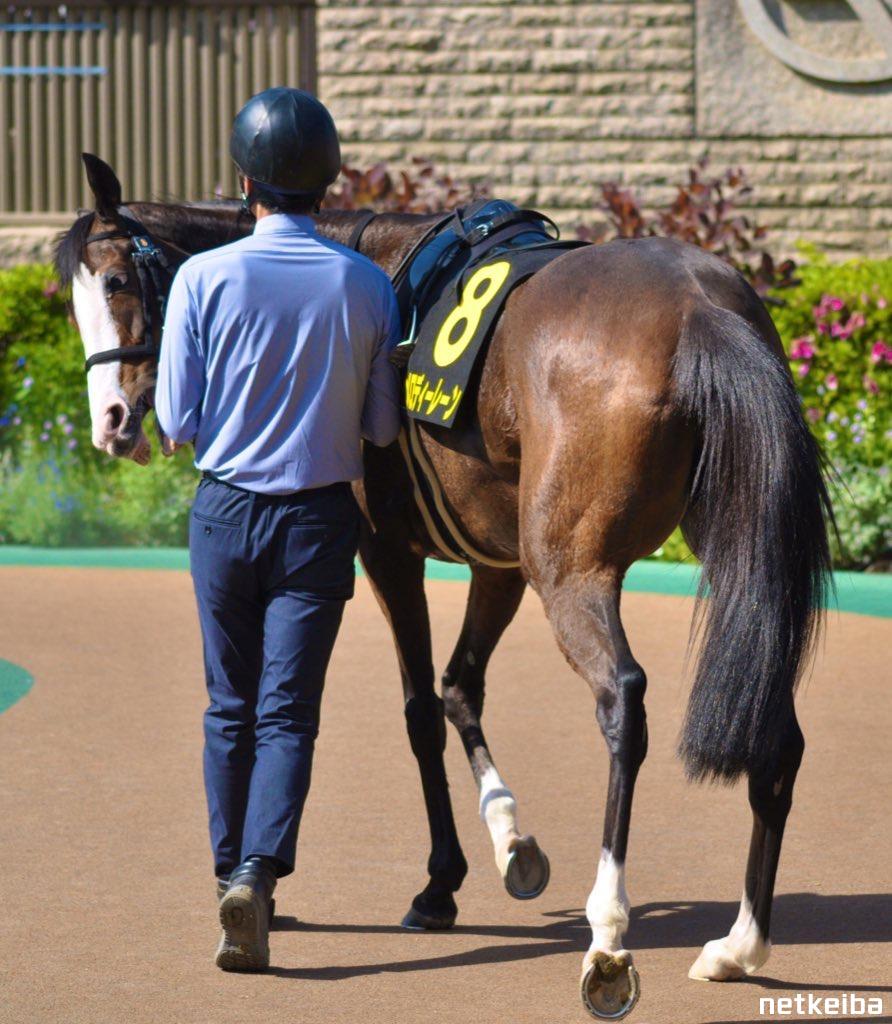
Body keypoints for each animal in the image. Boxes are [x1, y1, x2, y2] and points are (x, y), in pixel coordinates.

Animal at [56, 153, 833, 1020]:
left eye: (117, 281)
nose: (112, 421)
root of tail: (699, 305)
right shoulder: (500, 560)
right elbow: (461, 688)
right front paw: (512, 845)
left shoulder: (385, 549)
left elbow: (421, 710)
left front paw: (440, 884)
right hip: (720, 549)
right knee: (776, 724)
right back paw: (741, 943)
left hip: (571, 569)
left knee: (622, 702)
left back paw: (608, 936)